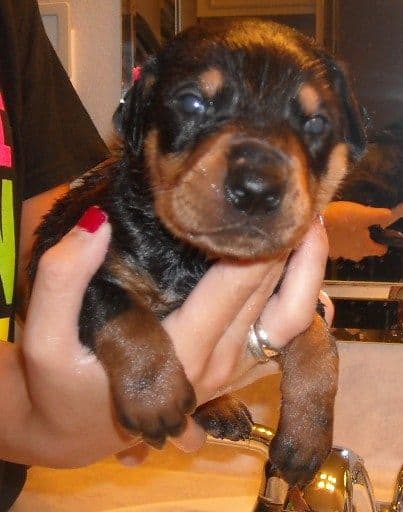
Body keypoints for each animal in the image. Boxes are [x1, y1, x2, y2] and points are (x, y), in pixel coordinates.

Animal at [30, 19, 366, 484]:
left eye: (316, 123)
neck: (196, 259)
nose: (256, 188)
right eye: (192, 102)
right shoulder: (92, 268)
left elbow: (320, 343)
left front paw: (306, 440)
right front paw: (156, 397)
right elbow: (122, 314)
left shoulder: (291, 284)